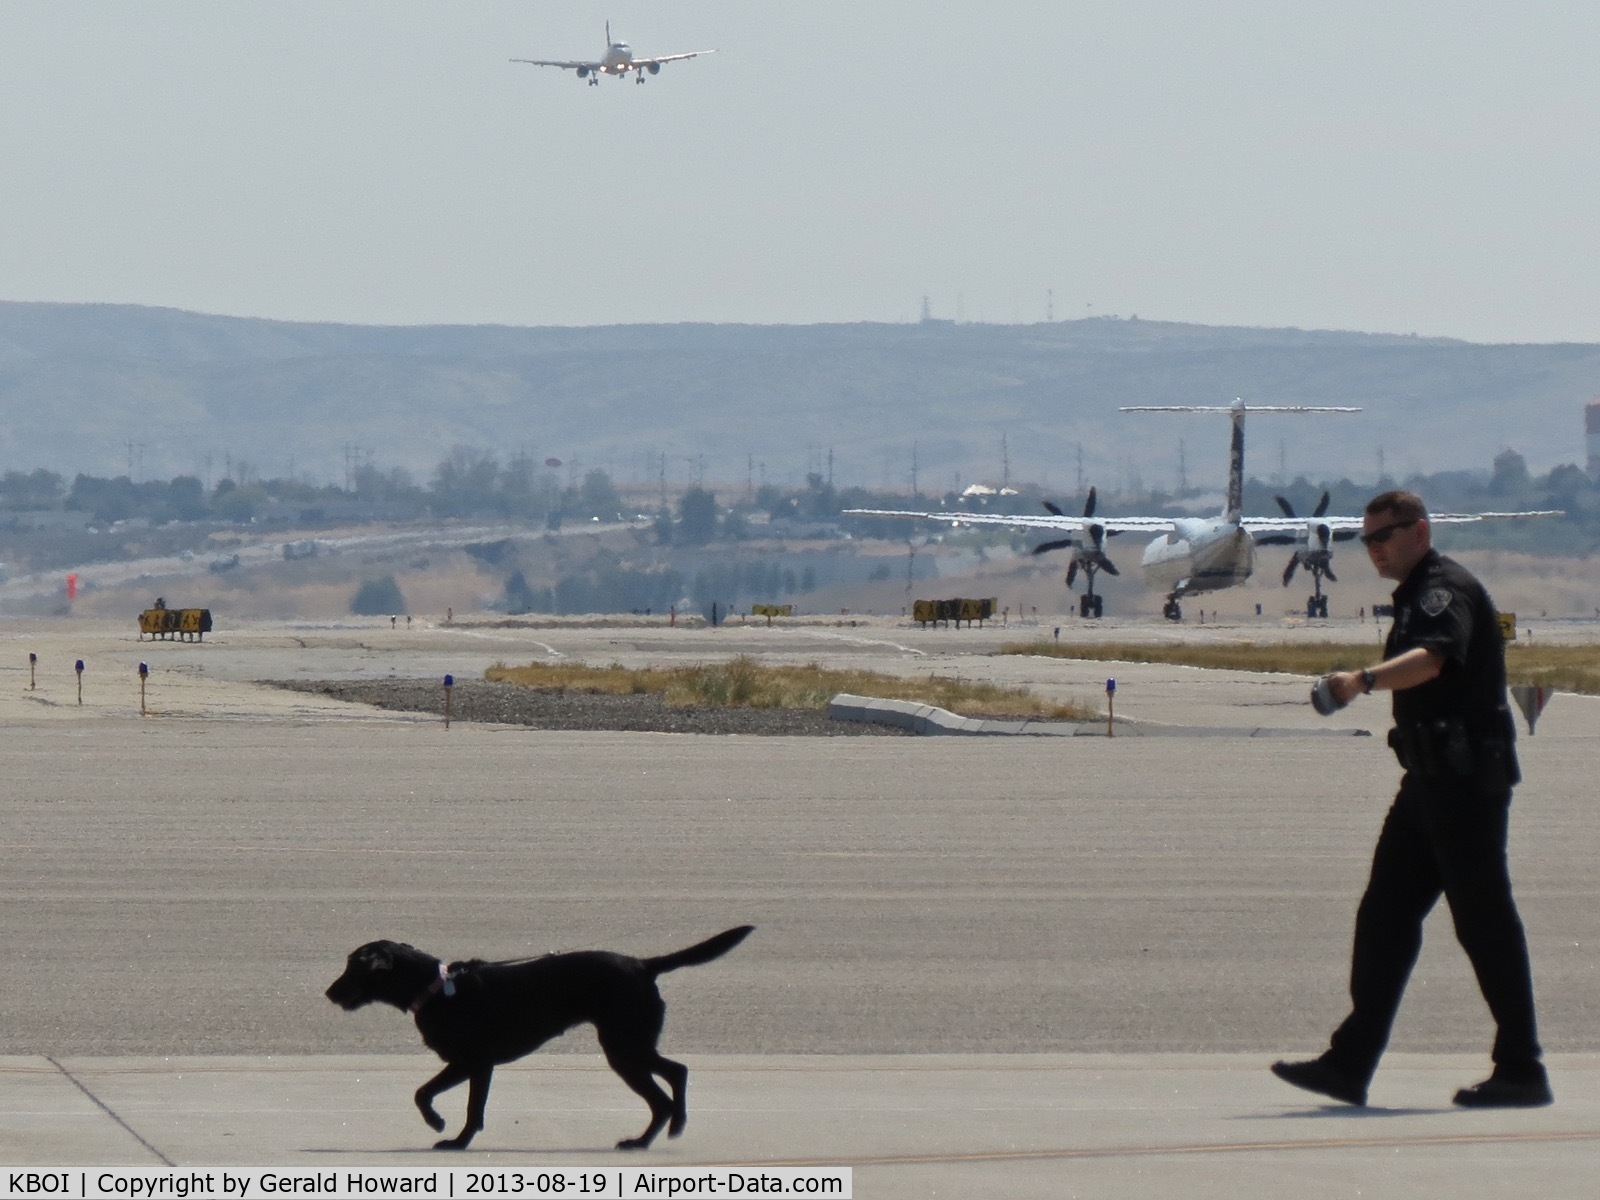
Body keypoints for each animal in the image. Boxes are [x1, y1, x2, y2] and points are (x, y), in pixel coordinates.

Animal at [324, 928, 755, 1152]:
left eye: (353, 967)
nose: (328, 993)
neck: (436, 989)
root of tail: (643, 965)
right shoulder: (464, 1064)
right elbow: (424, 1092)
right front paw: (441, 1124)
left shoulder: (475, 1063)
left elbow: (463, 1107)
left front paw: (451, 1135)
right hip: (627, 1048)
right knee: (667, 1087)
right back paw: (646, 1139)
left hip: (624, 1046)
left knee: (674, 1077)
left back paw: (667, 1128)